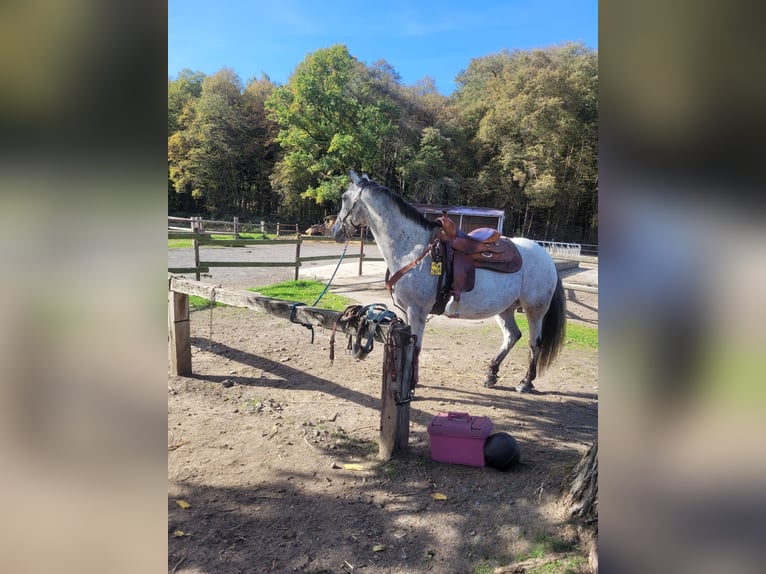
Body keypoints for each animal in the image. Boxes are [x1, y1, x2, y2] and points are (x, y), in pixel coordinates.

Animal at [332, 173, 568, 394]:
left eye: (344, 198)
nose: (336, 231)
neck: (412, 249)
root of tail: (545, 255)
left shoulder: (417, 311)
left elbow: (416, 348)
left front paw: (411, 384)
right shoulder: (406, 312)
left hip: (535, 309)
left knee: (534, 342)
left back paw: (525, 382)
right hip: (506, 308)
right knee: (512, 336)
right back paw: (491, 374)